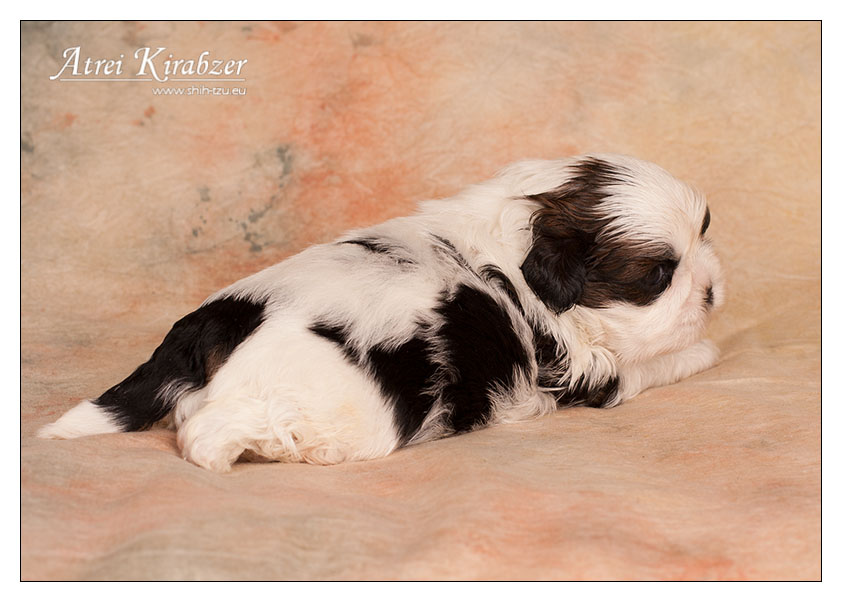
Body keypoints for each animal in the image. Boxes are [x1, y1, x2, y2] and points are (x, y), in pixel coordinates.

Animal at [38, 154, 724, 472]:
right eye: (660, 276)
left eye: (706, 233)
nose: (713, 290)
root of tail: (217, 320)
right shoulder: (591, 366)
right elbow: (657, 362)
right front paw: (705, 348)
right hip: (320, 401)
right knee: (212, 432)